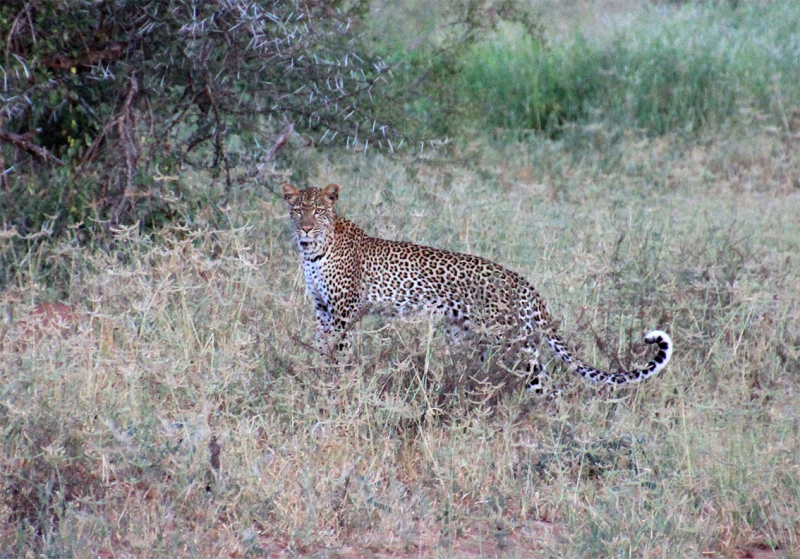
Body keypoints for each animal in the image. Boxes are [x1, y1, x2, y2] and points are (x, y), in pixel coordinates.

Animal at [284, 184, 672, 394]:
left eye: (318, 211)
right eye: (297, 209)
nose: (305, 229)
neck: (314, 250)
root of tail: (524, 283)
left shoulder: (344, 312)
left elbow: (339, 352)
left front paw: (336, 383)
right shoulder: (323, 311)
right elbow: (321, 347)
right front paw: (320, 377)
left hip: (514, 343)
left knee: (547, 385)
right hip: (467, 334)